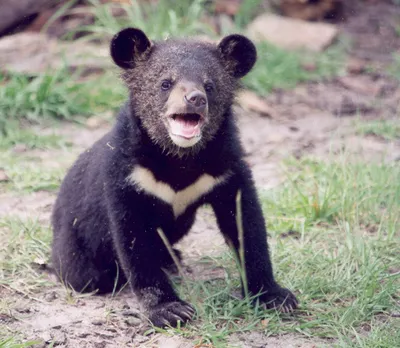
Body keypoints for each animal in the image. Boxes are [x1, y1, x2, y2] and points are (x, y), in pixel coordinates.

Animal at [50, 26, 296, 326]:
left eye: (210, 86)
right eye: (165, 83)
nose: (195, 99)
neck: (178, 158)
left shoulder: (227, 168)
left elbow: (245, 222)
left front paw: (275, 297)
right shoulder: (127, 177)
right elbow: (134, 240)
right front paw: (170, 310)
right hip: (74, 242)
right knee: (85, 275)